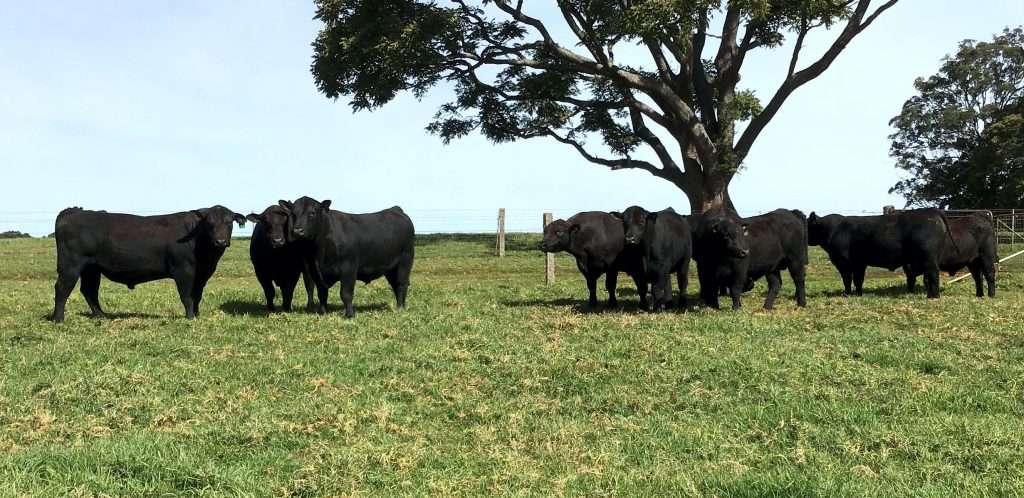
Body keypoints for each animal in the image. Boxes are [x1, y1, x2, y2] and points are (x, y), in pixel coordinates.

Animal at [52, 205, 245, 322]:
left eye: (229, 222)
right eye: (209, 223)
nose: (220, 241)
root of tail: (74, 212)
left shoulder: (202, 275)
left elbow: (197, 295)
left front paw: (197, 315)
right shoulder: (183, 270)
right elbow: (187, 296)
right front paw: (190, 317)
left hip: (91, 268)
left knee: (89, 290)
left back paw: (102, 316)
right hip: (71, 265)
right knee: (63, 287)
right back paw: (58, 319)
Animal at [285, 197, 415, 318]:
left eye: (312, 213)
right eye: (293, 213)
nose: (297, 231)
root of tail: (395, 209)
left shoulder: (349, 268)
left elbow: (346, 294)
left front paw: (349, 315)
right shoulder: (315, 271)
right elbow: (322, 293)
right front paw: (322, 312)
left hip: (405, 261)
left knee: (401, 284)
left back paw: (400, 308)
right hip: (391, 268)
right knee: (395, 285)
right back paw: (399, 306)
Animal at [807, 208, 953, 298]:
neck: (833, 230)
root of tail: (931, 211)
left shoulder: (843, 262)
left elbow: (847, 279)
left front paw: (846, 294)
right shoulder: (859, 263)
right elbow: (858, 279)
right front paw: (858, 294)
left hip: (928, 258)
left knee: (933, 274)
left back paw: (932, 296)